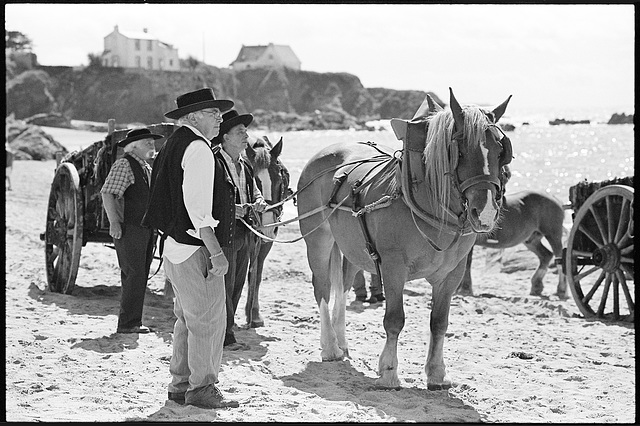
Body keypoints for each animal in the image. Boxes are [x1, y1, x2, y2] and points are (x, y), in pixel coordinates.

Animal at [241, 135, 292, 328]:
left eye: (280, 179)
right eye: (255, 180)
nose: (268, 226)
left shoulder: (265, 243)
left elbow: (256, 275)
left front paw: (254, 314)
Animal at [298, 89, 512, 390]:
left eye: (500, 150)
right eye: (460, 150)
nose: (486, 212)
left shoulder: (452, 274)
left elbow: (439, 322)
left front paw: (436, 373)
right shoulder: (392, 267)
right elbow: (394, 320)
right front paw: (389, 371)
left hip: (352, 248)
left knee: (343, 288)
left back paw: (341, 343)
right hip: (318, 240)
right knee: (322, 287)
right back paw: (329, 347)